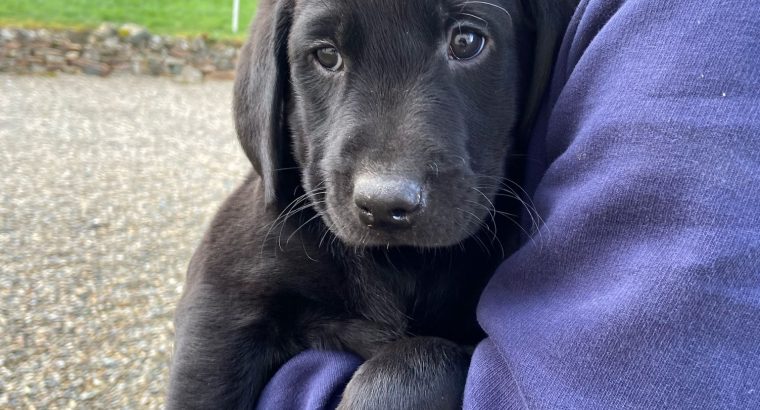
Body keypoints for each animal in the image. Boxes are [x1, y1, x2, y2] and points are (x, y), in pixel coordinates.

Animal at [168, 0, 576, 406]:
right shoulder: (220, 302)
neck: (398, 263)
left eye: (466, 42)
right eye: (327, 55)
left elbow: (421, 359)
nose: (384, 204)